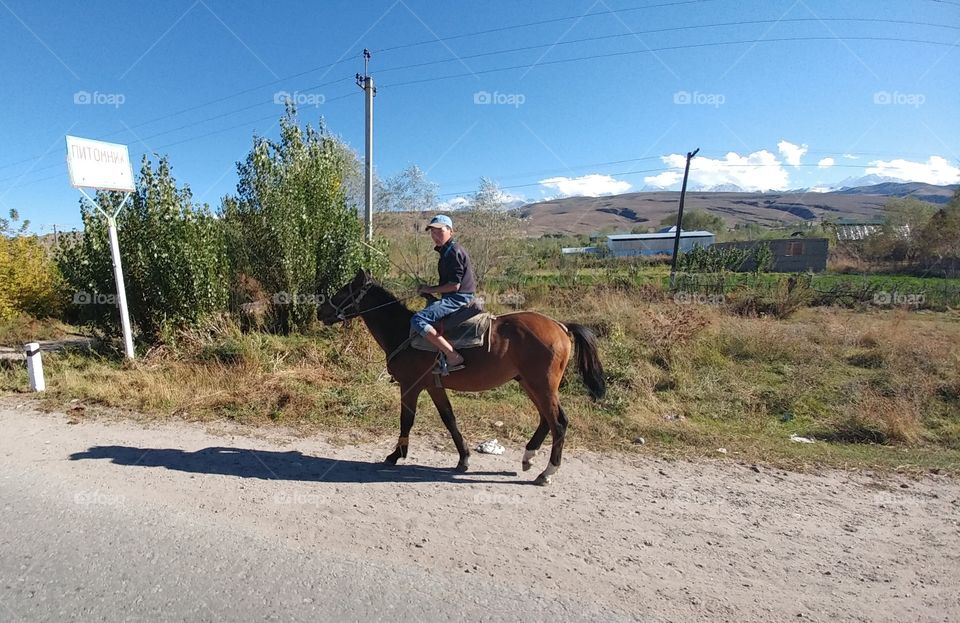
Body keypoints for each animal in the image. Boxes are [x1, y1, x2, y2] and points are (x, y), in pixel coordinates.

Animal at [318, 270, 604, 486]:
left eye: (343, 291)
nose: (321, 310)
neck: (403, 331)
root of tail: (561, 326)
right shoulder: (434, 387)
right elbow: (449, 419)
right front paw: (463, 458)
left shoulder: (410, 386)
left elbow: (406, 420)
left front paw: (396, 454)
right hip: (530, 384)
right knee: (546, 420)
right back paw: (528, 457)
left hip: (541, 386)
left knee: (559, 423)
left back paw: (547, 472)